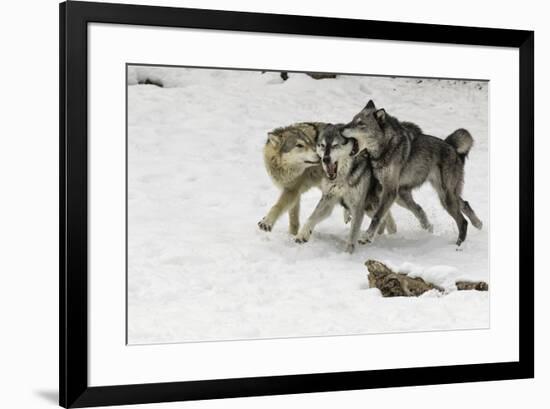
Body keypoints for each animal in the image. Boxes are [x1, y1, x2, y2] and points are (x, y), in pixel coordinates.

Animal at [298, 122, 396, 253]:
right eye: (322, 145)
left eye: (335, 145)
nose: (325, 159)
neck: (342, 178)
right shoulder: (328, 199)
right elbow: (311, 217)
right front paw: (302, 234)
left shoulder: (358, 207)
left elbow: (352, 234)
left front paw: (347, 254)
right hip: (369, 208)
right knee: (385, 219)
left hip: (371, 206)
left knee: (387, 220)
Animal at [342, 99, 486, 245]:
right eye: (352, 120)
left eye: (360, 124)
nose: (341, 128)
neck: (385, 148)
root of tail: (452, 147)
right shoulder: (381, 187)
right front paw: (348, 214)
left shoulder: (389, 190)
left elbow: (377, 215)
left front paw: (367, 236)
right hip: (433, 195)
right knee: (463, 204)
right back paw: (478, 224)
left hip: (445, 198)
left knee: (462, 221)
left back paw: (458, 244)